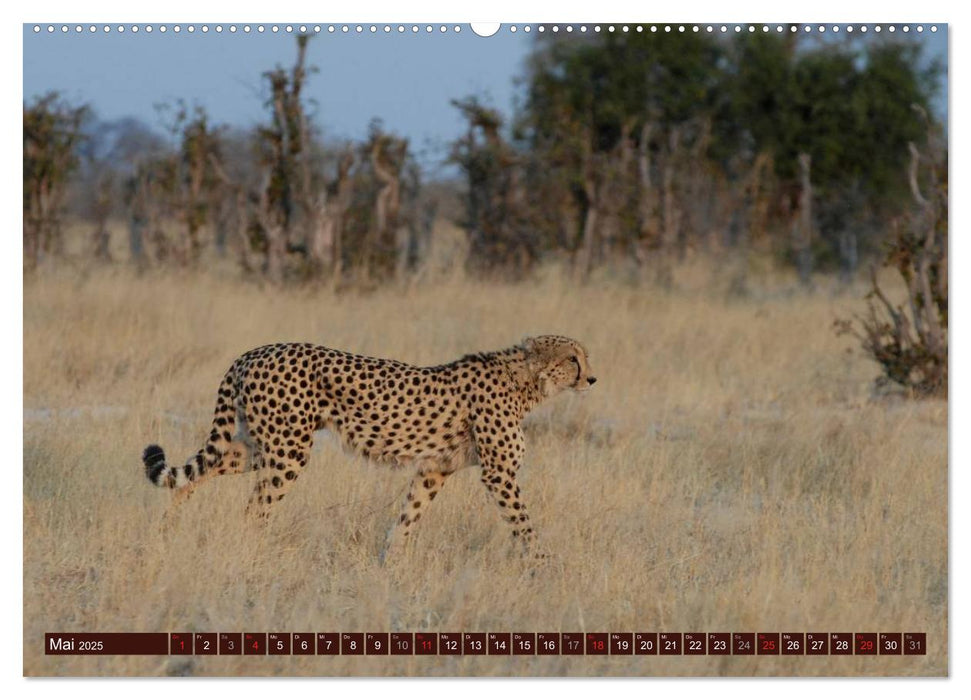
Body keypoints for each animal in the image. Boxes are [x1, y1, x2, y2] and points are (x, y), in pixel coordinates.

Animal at [140, 334, 596, 556]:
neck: (526, 383)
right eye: (573, 359)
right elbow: (525, 526)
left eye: (584, 357)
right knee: (255, 509)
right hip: (288, 450)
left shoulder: (434, 469)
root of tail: (253, 351)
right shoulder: (499, 474)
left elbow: (408, 519)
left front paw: (389, 564)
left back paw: (168, 525)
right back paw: (254, 552)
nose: (592, 378)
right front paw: (543, 567)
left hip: (259, 445)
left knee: (200, 471)